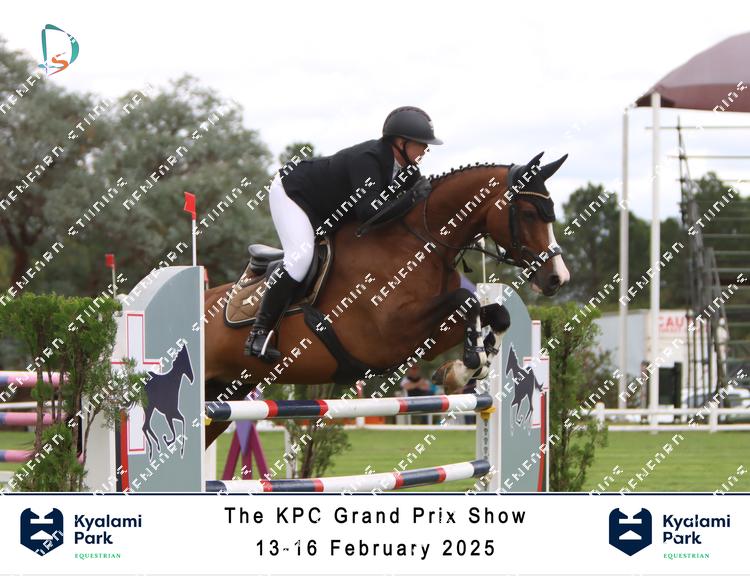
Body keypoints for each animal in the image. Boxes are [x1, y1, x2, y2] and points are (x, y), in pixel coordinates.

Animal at [203, 152, 570, 446]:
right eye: (529, 213)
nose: (557, 278)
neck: (421, 243)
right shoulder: (389, 334)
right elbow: (465, 298)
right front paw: (466, 365)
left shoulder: (426, 338)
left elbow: (495, 313)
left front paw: (468, 365)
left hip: (226, 391)